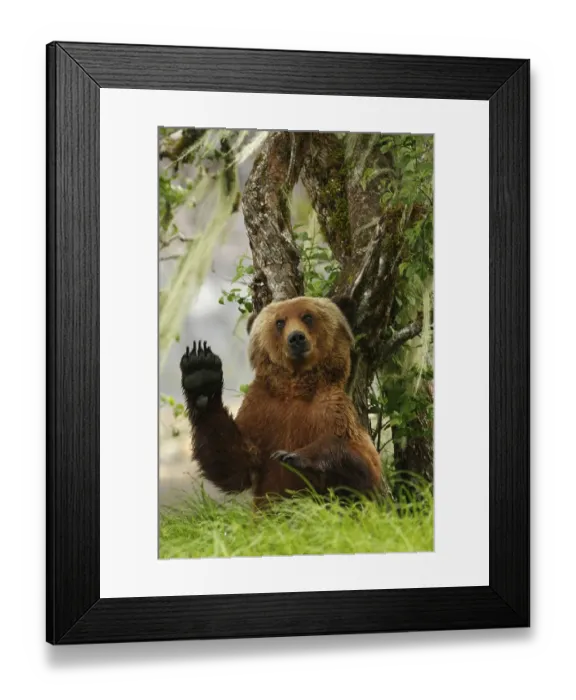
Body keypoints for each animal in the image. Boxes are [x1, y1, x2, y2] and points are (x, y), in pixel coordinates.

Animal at [179, 295, 383, 505]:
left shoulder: (332, 409)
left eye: (307, 316)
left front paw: (294, 456)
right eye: (279, 322)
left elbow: (366, 468)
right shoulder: (262, 410)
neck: (295, 390)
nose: (296, 338)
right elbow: (235, 463)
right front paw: (201, 374)